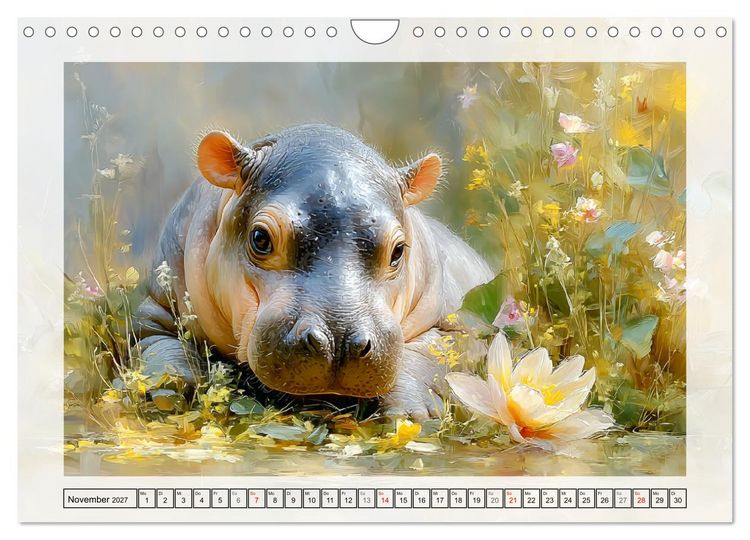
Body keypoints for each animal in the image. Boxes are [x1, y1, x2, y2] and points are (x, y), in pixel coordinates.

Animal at [134, 124, 493, 419]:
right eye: (260, 238)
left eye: (399, 251)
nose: (339, 342)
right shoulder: (157, 306)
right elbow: (159, 342)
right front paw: (168, 387)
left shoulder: (462, 324)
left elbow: (428, 356)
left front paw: (411, 414)